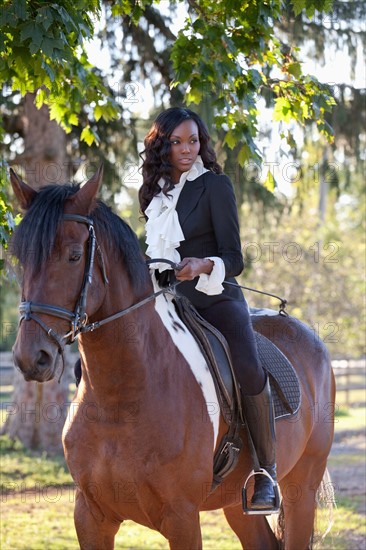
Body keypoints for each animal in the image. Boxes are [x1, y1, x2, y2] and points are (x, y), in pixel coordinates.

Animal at [8, 169, 334, 550]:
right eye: (21, 260)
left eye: (74, 256)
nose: (32, 357)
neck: (121, 396)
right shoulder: (90, 516)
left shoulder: (182, 518)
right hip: (237, 505)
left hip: (302, 490)